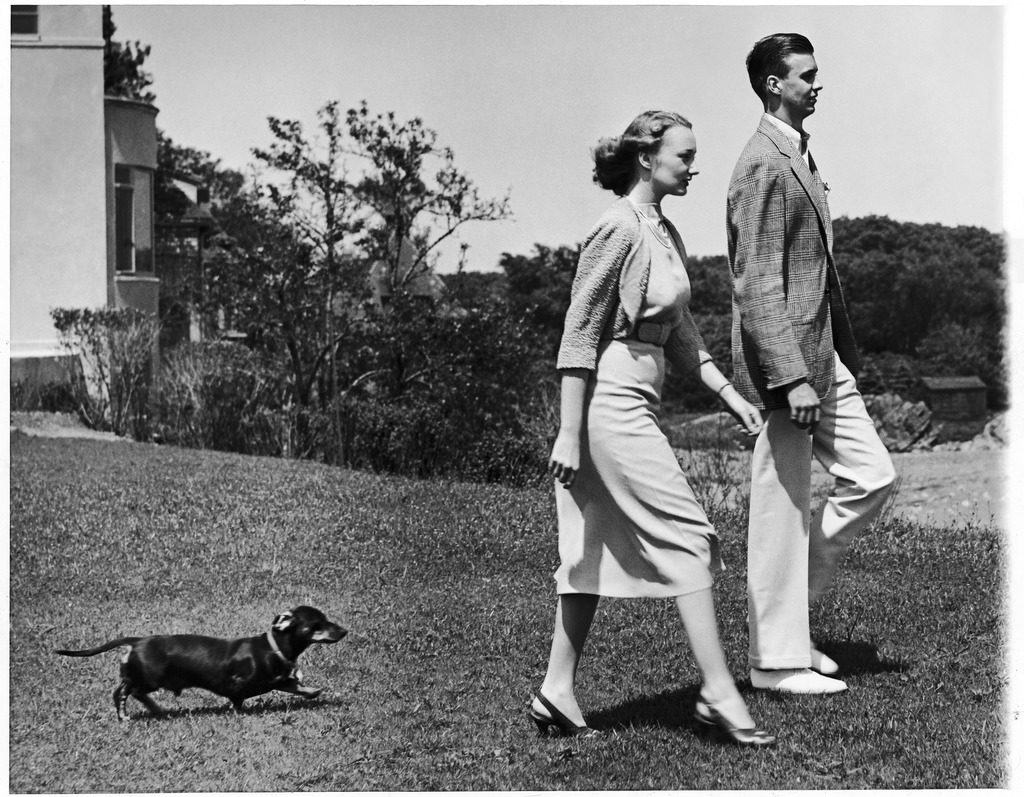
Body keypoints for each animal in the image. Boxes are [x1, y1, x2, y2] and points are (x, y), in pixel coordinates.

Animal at [55, 602, 348, 721]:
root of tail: (137, 642)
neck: (273, 648)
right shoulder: (243, 685)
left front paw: (312, 690)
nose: (345, 631)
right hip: (149, 679)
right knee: (124, 692)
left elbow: (293, 685)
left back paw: (156, 709)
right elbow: (242, 698)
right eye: (317, 624)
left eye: (326, 619)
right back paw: (128, 714)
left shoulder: (277, 679)